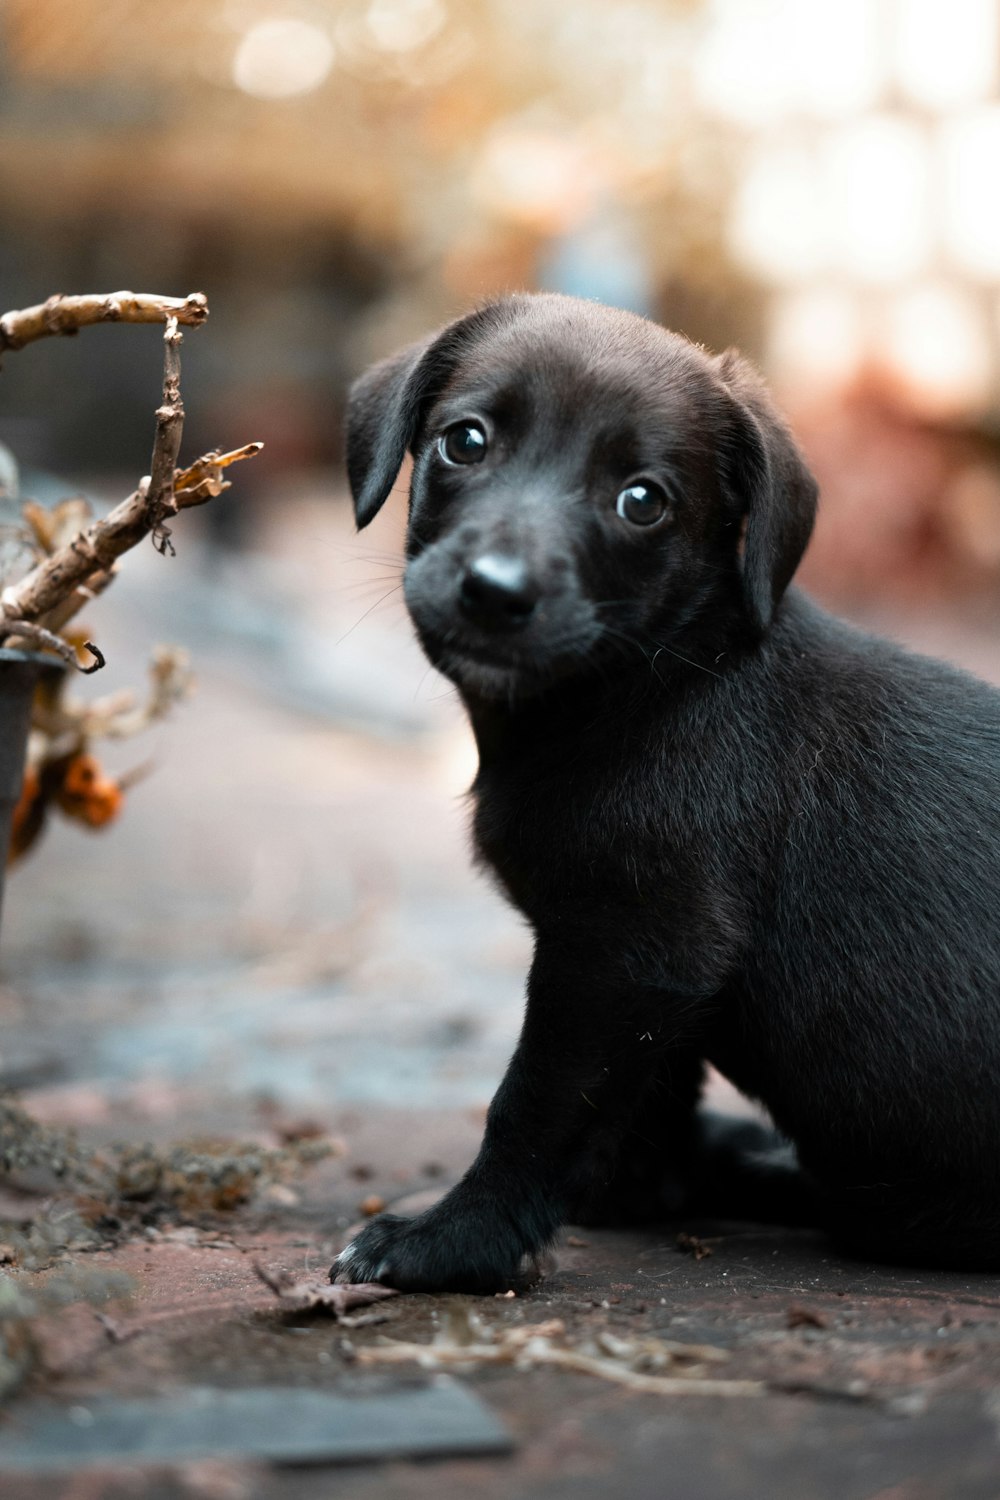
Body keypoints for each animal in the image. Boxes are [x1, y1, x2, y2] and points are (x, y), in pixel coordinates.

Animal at [334, 292, 1000, 1290]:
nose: (496, 592)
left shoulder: (629, 951)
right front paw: (635, 1192)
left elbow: (536, 1106)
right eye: (466, 441)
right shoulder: (660, 986)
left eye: (641, 501)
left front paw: (454, 1241)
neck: (648, 682)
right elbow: (642, 1099)